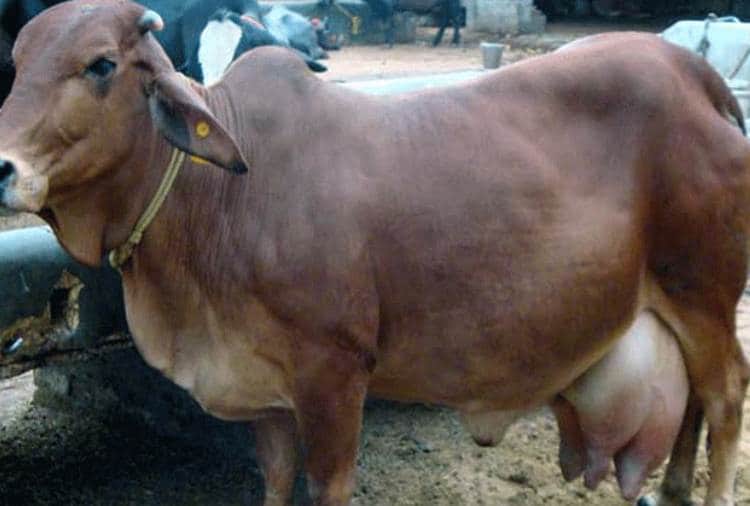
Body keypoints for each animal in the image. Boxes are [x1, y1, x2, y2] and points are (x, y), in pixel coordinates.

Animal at [0, 1, 748, 505]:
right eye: (16, 63)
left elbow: (327, 483)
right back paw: (673, 489)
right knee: (691, 402)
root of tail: (694, 71)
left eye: (101, 65)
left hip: (704, 293)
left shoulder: (334, 377)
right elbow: (276, 479)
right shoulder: (264, 395)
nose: (4, 167)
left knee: (724, 397)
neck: (217, 196)